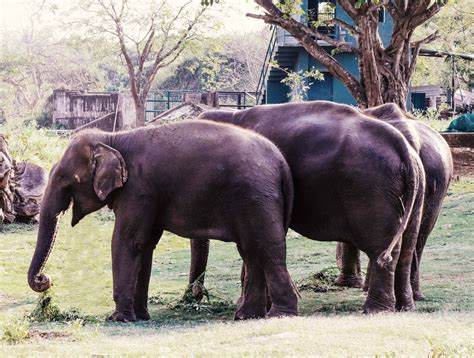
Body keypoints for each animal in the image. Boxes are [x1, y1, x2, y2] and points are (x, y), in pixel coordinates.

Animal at [26, 120, 296, 322]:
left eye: (65, 178)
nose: (45, 280)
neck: (113, 138)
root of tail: (282, 163)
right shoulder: (147, 195)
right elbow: (144, 245)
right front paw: (140, 316)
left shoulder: (139, 189)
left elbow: (127, 241)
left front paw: (118, 319)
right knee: (251, 251)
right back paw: (246, 316)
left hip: (256, 198)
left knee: (267, 249)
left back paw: (280, 315)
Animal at [189, 100, 426, 314]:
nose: (194, 299)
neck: (232, 115)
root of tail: (403, 148)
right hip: (415, 189)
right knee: (406, 248)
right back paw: (405, 307)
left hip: (371, 188)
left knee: (381, 247)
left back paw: (375, 310)